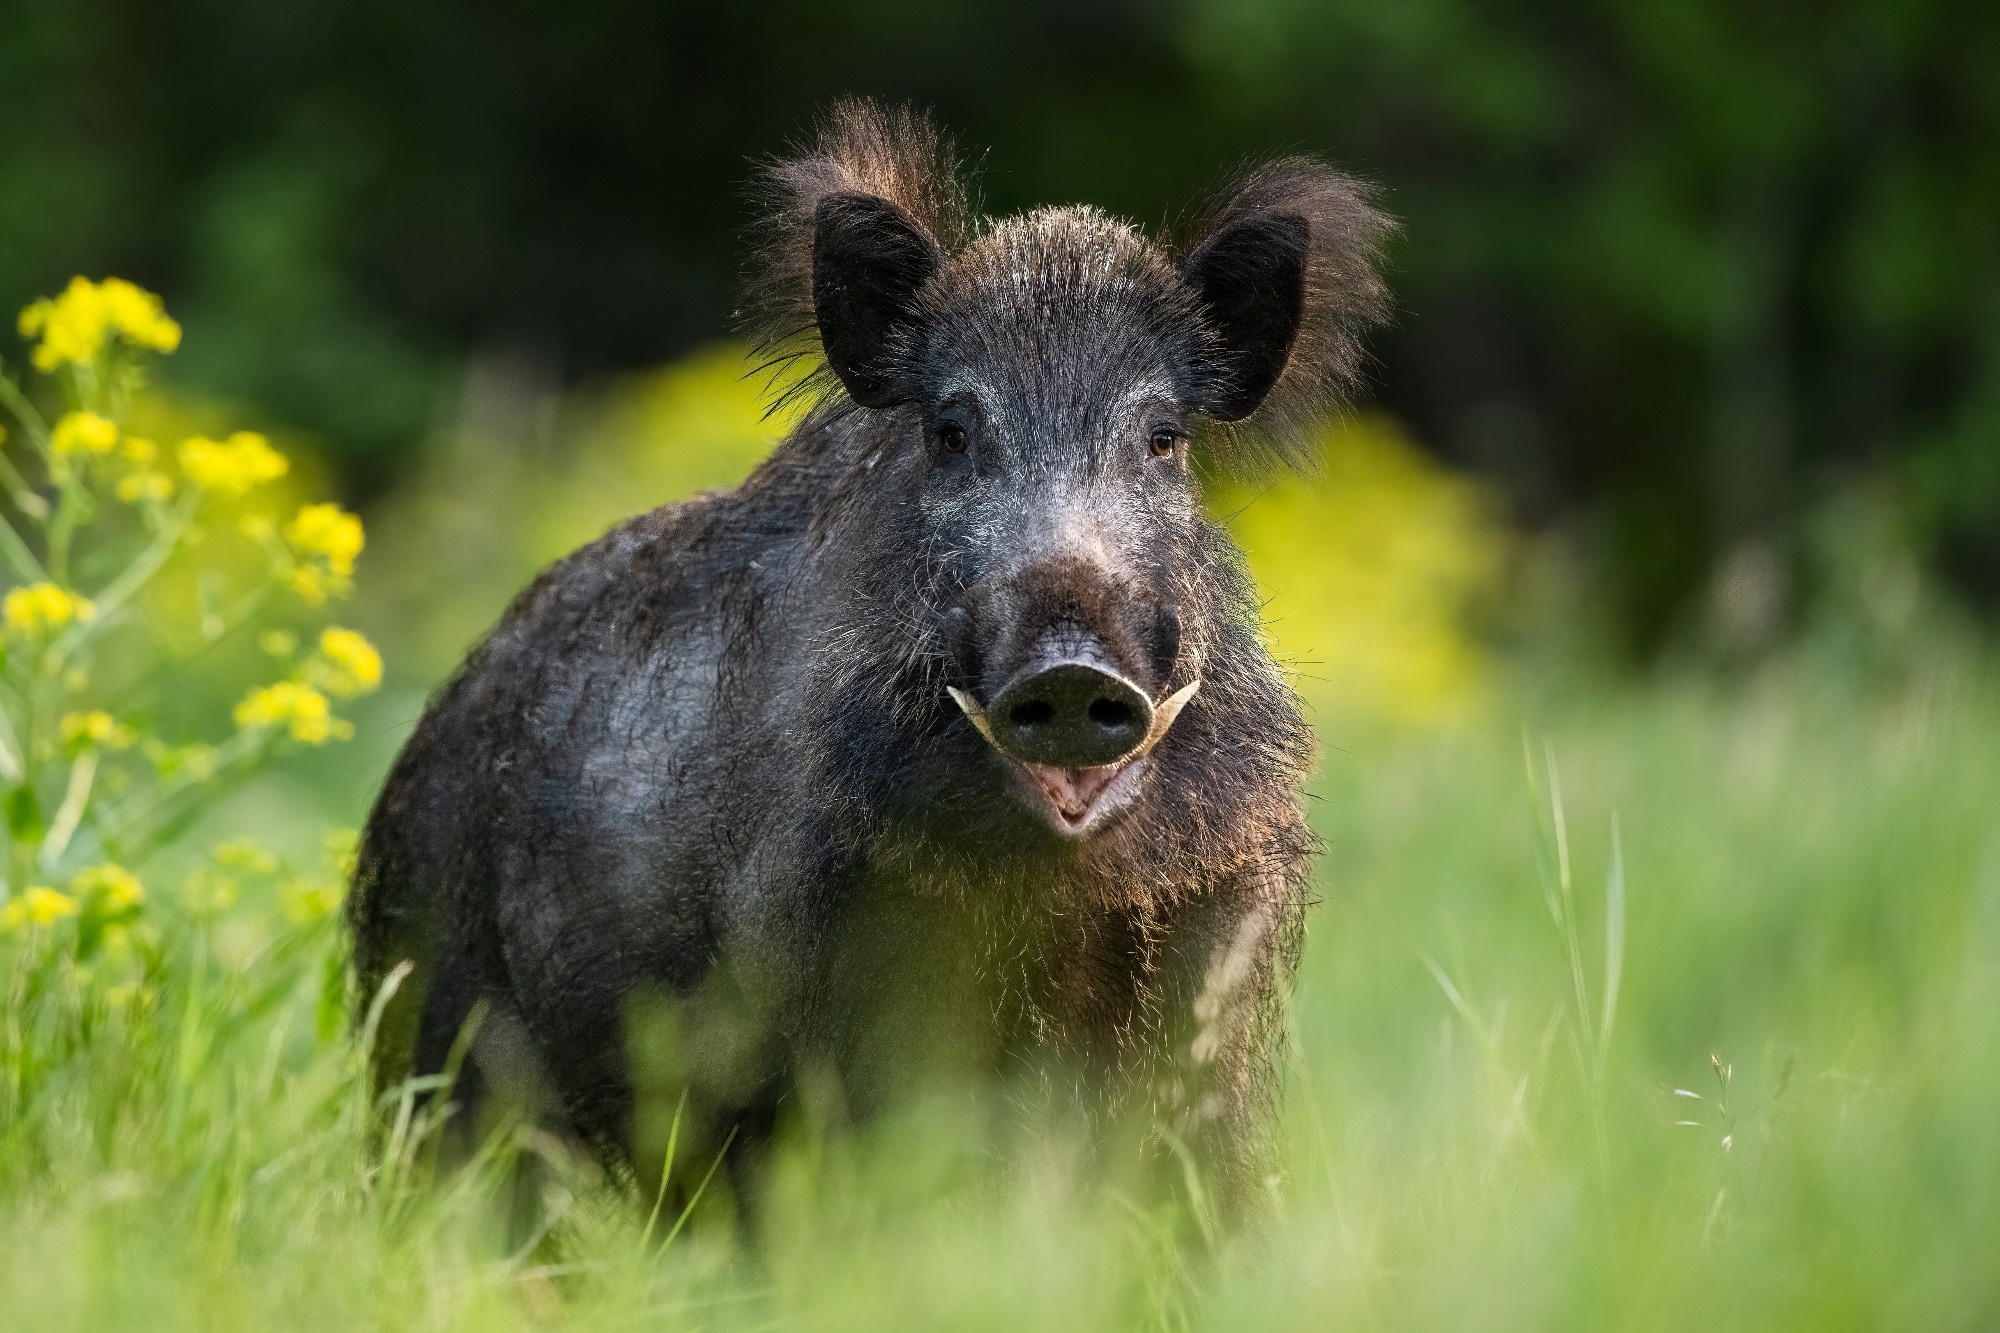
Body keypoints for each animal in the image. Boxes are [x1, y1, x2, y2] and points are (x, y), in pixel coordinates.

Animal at [349, 100, 1392, 1220]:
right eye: (951, 434)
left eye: (1162, 439)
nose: (1070, 671)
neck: (1055, 905)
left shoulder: (1221, 972)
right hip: (433, 1028)